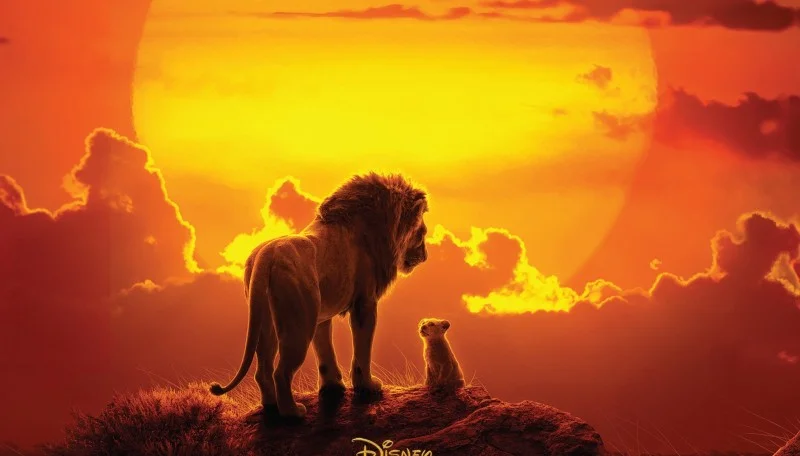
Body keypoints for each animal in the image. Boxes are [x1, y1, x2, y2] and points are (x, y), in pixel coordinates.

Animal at [209, 172, 429, 419]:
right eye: (422, 233)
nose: (425, 256)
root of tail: (266, 255)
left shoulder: (321, 314)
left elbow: (324, 351)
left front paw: (333, 386)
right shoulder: (364, 302)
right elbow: (362, 349)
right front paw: (367, 386)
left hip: (267, 321)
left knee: (263, 369)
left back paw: (271, 406)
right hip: (298, 324)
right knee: (281, 372)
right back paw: (292, 413)